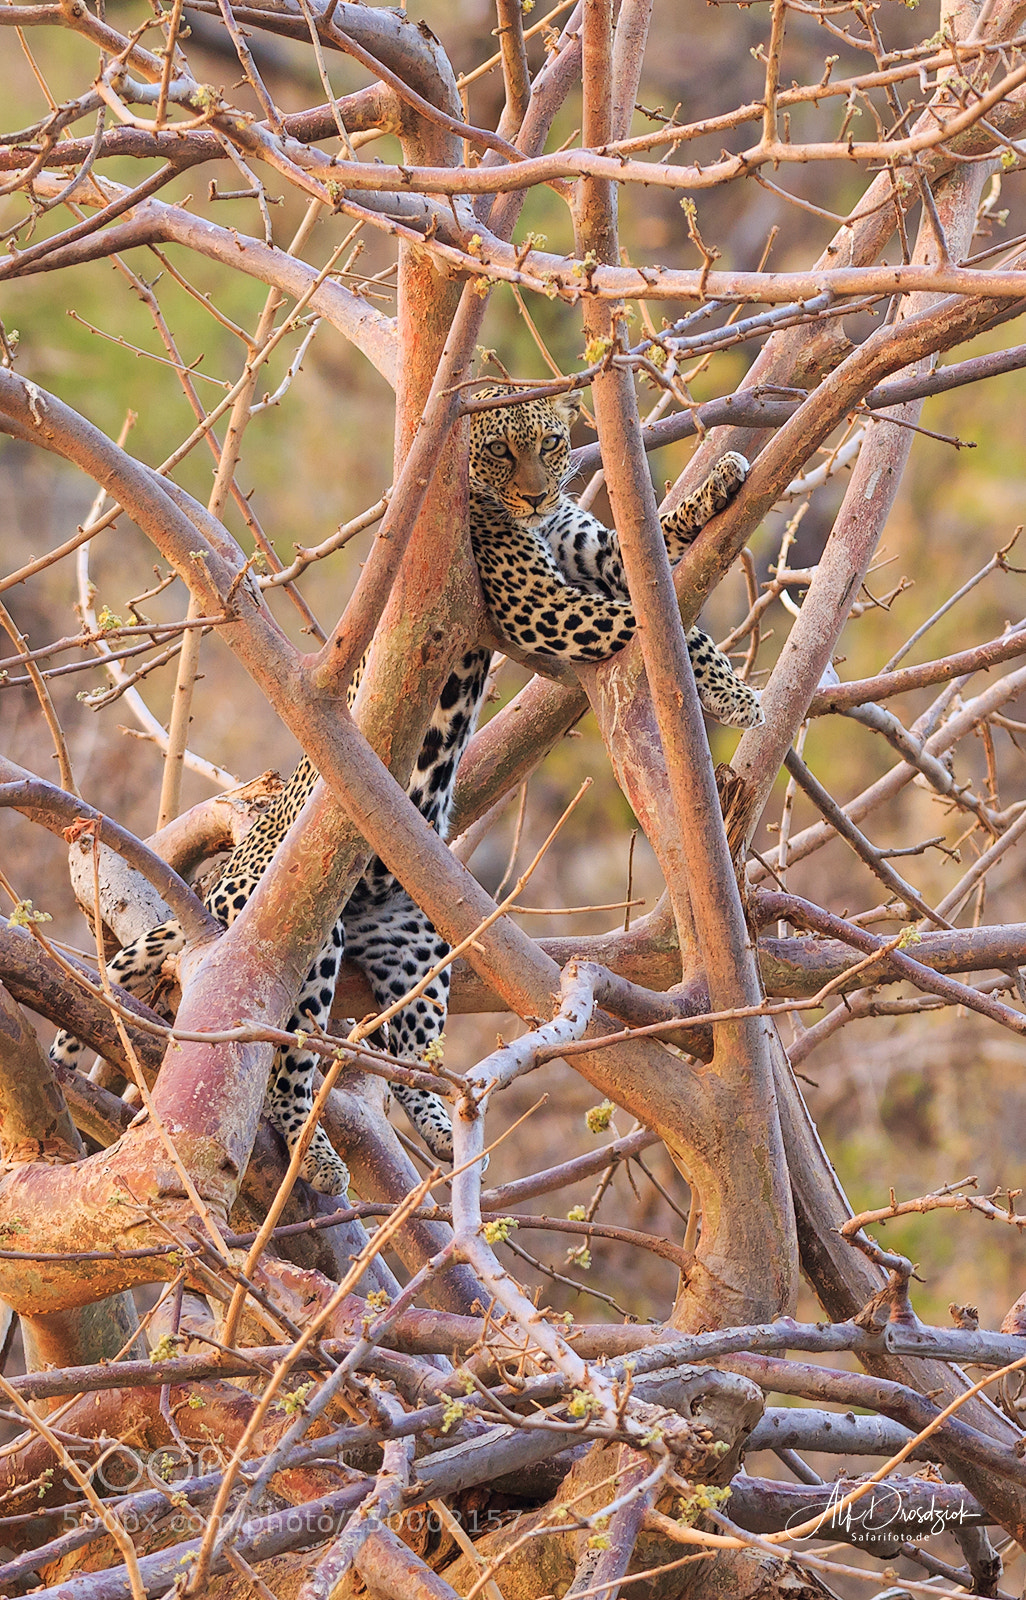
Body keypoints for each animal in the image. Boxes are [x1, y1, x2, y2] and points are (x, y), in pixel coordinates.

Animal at [50, 390, 759, 1197]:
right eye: (498, 452)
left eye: (550, 443)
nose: (534, 494)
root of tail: (217, 888)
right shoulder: (539, 606)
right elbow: (650, 616)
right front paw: (737, 696)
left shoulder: (587, 552)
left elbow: (653, 570)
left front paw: (722, 484)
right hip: (299, 938)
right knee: (287, 1058)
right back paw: (320, 1158)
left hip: (413, 940)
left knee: (404, 1056)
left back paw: (450, 1124)